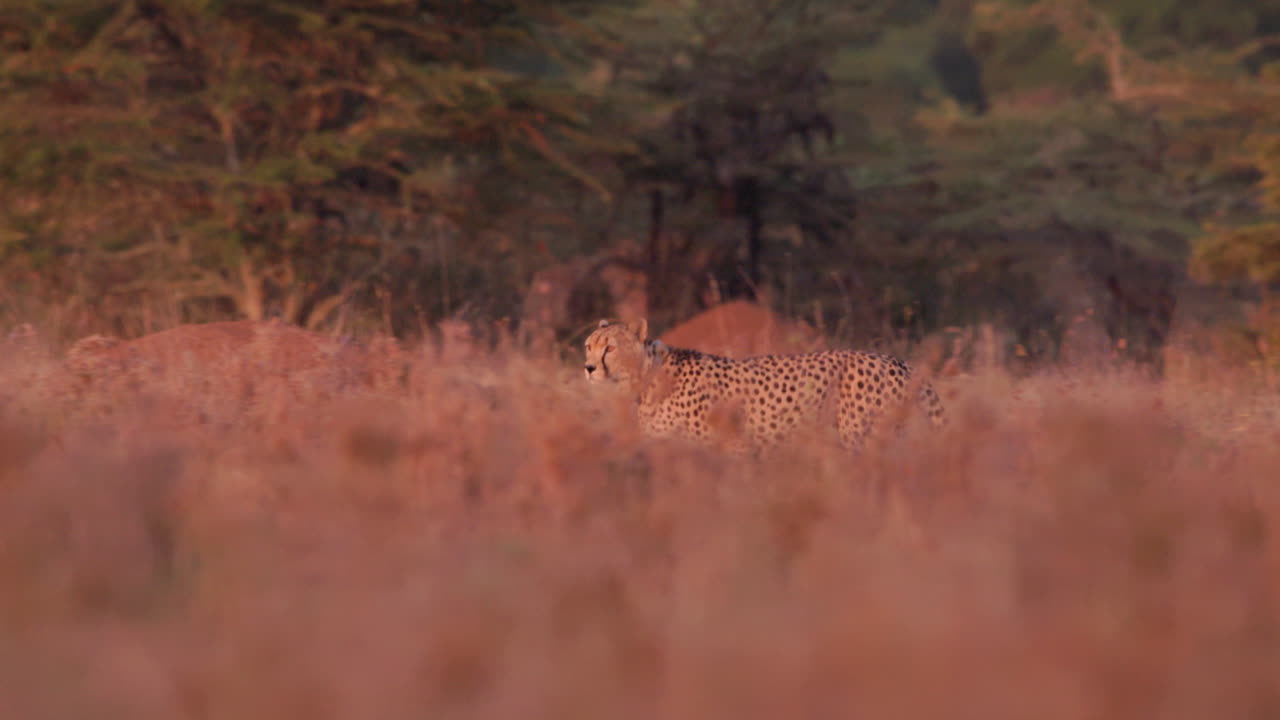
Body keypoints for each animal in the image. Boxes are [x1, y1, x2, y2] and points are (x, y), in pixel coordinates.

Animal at [583, 318, 945, 452]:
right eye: (588, 346)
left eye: (610, 348)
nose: (588, 368)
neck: (647, 377)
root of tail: (899, 361)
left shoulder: (734, 447)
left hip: (865, 439)